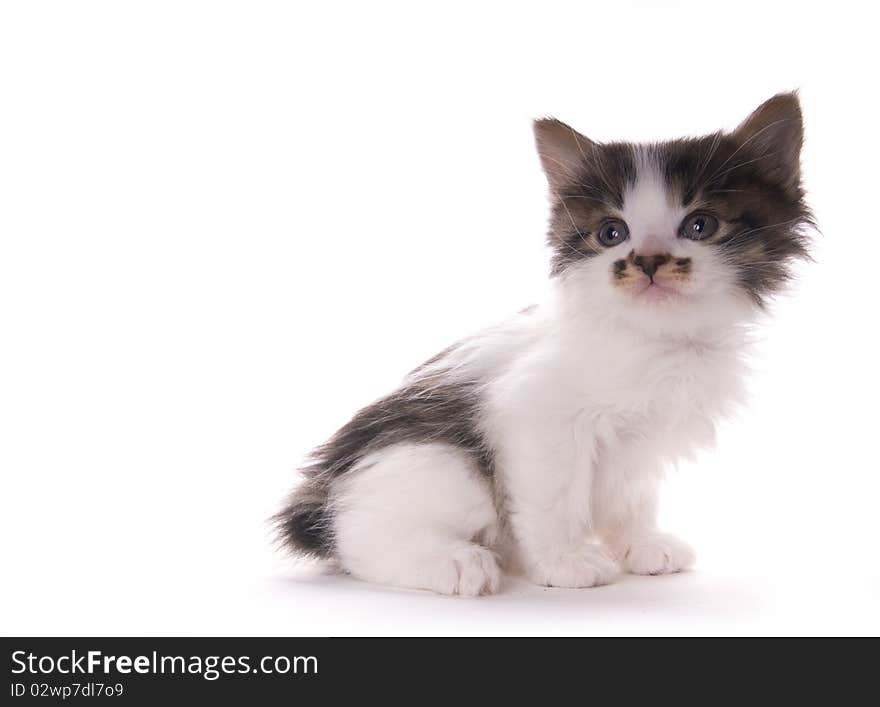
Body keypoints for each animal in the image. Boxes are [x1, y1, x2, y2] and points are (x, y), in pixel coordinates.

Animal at [274, 91, 812, 596]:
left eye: (700, 225)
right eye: (611, 233)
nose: (648, 261)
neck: (656, 336)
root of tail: (326, 488)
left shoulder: (640, 442)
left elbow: (632, 495)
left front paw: (641, 545)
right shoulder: (539, 417)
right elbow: (554, 496)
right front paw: (564, 562)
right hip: (433, 464)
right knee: (361, 539)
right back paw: (454, 562)